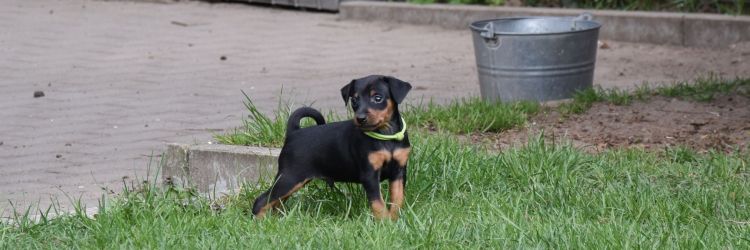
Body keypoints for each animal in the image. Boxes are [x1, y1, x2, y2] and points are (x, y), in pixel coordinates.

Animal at [256, 75, 414, 220]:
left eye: (378, 98)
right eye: (354, 100)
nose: (360, 118)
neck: (386, 135)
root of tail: (294, 133)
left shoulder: (399, 172)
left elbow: (397, 199)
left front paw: (395, 220)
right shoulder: (369, 175)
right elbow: (378, 203)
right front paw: (384, 222)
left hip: (294, 180)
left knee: (276, 202)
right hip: (290, 177)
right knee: (262, 200)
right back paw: (261, 222)